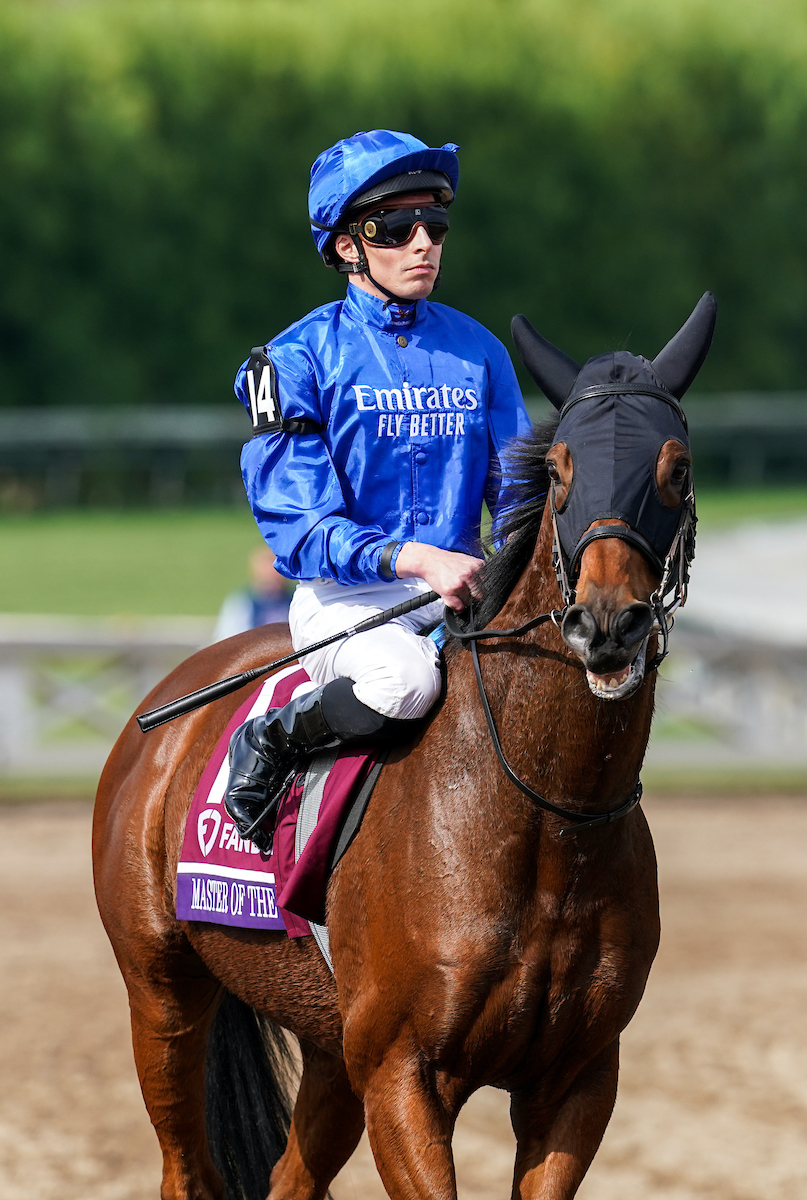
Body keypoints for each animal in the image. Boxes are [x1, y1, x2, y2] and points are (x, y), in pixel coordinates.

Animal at [91, 290, 715, 1200]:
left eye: (674, 468)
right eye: (561, 471)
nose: (606, 624)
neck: (543, 819)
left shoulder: (576, 1078)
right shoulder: (402, 1073)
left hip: (325, 1042)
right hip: (162, 995)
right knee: (185, 1164)